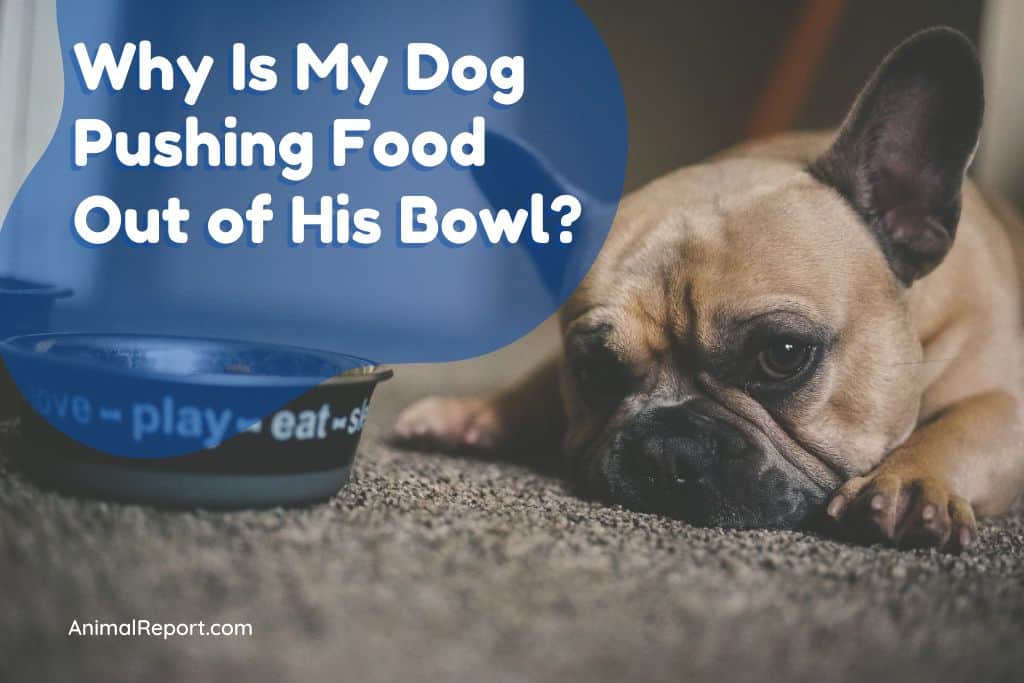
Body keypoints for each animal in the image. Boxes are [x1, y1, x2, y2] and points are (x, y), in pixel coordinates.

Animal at [391, 26, 1024, 552]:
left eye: (784, 356)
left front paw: (911, 481)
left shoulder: (1007, 402)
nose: (668, 448)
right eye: (593, 370)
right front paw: (477, 411)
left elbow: (964, 426)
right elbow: (539, 379)